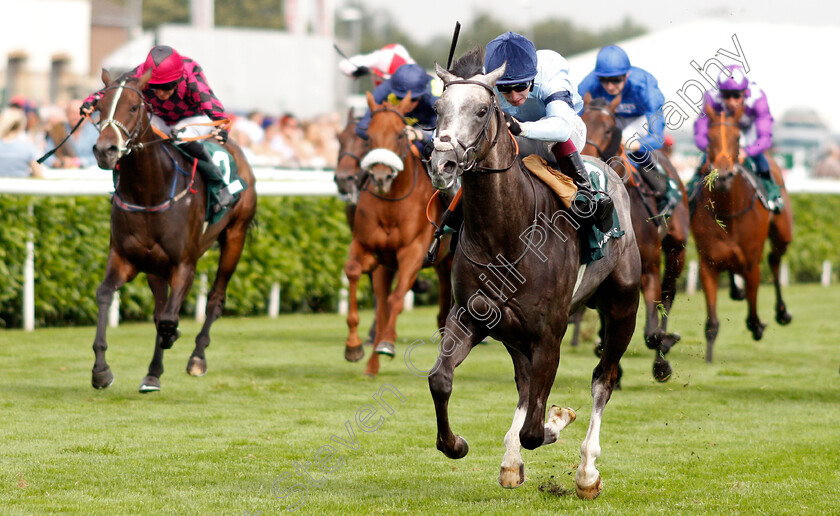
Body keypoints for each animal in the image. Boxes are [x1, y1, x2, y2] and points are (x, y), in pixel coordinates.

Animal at [89, 68, 256, 392]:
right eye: (100, 107)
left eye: (133, 107)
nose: (105, 150)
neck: (149, 191)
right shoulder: (125, 258)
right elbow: (105, 294)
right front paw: (101, 370)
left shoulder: (184, 264)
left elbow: (168, 319)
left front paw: (174, 336)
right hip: (155, 266)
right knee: (161, 307)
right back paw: (153, 373)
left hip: (235, 236)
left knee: (215, 299)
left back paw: (197, 357)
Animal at [342, 91, 452, 374]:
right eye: (368, 137)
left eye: (400, 135)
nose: (381, 177)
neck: (391, 204)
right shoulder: (367, 248)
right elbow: (354, 271)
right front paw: (353, 346)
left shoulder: (412, 252)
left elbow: (397, 299)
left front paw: (387, 343)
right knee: (381, 308)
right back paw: (371, 366)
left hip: (447, 262)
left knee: (442, 309)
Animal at [430, 49, 640, 500]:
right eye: (437, 109)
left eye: (481, 110)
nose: (443, 163)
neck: (507, 231)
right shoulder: (470, 316)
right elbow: (441, 379)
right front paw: (456, 444)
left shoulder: (550, 333)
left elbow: (534, 429)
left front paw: (556, 422)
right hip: (513, 332)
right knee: (525, 384)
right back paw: (512, 462)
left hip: (623, 308)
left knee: (603, 378)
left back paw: (587, 472)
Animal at [584, 94, 688, 380]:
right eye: (581, 120)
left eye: (609, 129)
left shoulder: (649, 267)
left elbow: (651, 331)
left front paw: (662, 358)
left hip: (677, 249)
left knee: (669, 292)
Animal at [692, 103, 792, 362]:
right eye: (709, 137)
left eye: (737, 137)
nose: (723, 175)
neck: (728, 211)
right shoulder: (707, 263)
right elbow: (712, 323)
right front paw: (708, 358)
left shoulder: (751, 263)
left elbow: (753, 312)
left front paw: (757, 326)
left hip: (783, 234)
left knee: (775, 259)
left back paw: (782, 312)